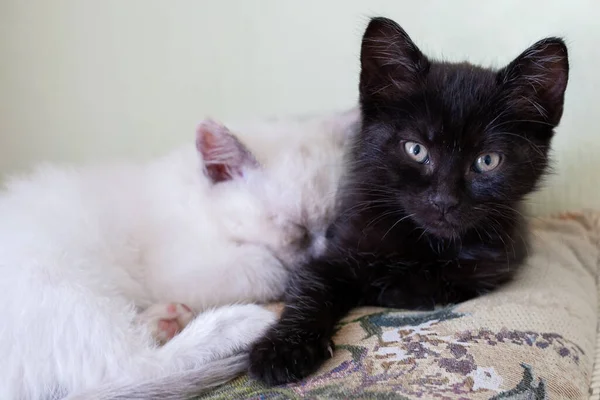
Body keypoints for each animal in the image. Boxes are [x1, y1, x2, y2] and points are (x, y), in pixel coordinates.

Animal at [0, 109, 356, 400]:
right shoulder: (176, 271)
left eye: (334, 225)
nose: (323, 253)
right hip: (63, 280)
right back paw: (239, 323)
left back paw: (164, 320)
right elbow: (268, 267)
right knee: (128, 368)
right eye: (297, 230)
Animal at [248, 17, 568, 386]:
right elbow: (311, 287)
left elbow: (433, 285)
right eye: (415, 149)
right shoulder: (337, 246)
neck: (425, 244)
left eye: (487, 161)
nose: (444, 200)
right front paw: (283, 349)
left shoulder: (495, 264)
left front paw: (389, 286)